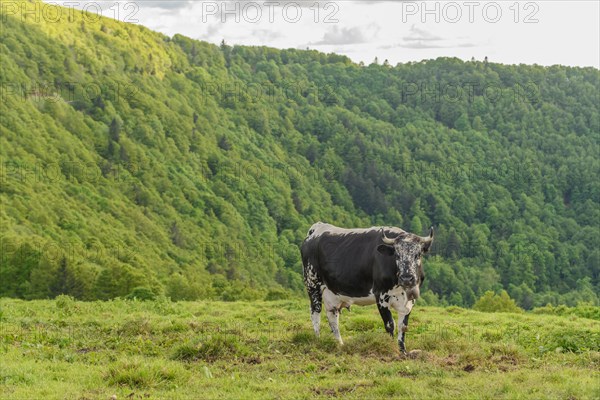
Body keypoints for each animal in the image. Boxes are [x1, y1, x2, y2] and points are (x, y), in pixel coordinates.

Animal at [302, 222, 434, 354]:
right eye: (397, 255)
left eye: (418, 254)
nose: (406, 278)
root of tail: (317, 228)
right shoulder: (381, 296)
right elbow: (390, 325)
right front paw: (390, 347)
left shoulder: (410, 300)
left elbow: (403, 326)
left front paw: (403, 351)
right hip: (312, 284)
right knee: (315, 313)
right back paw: (318, 340)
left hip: (332, 294)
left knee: (333, 318)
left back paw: (339, 344)